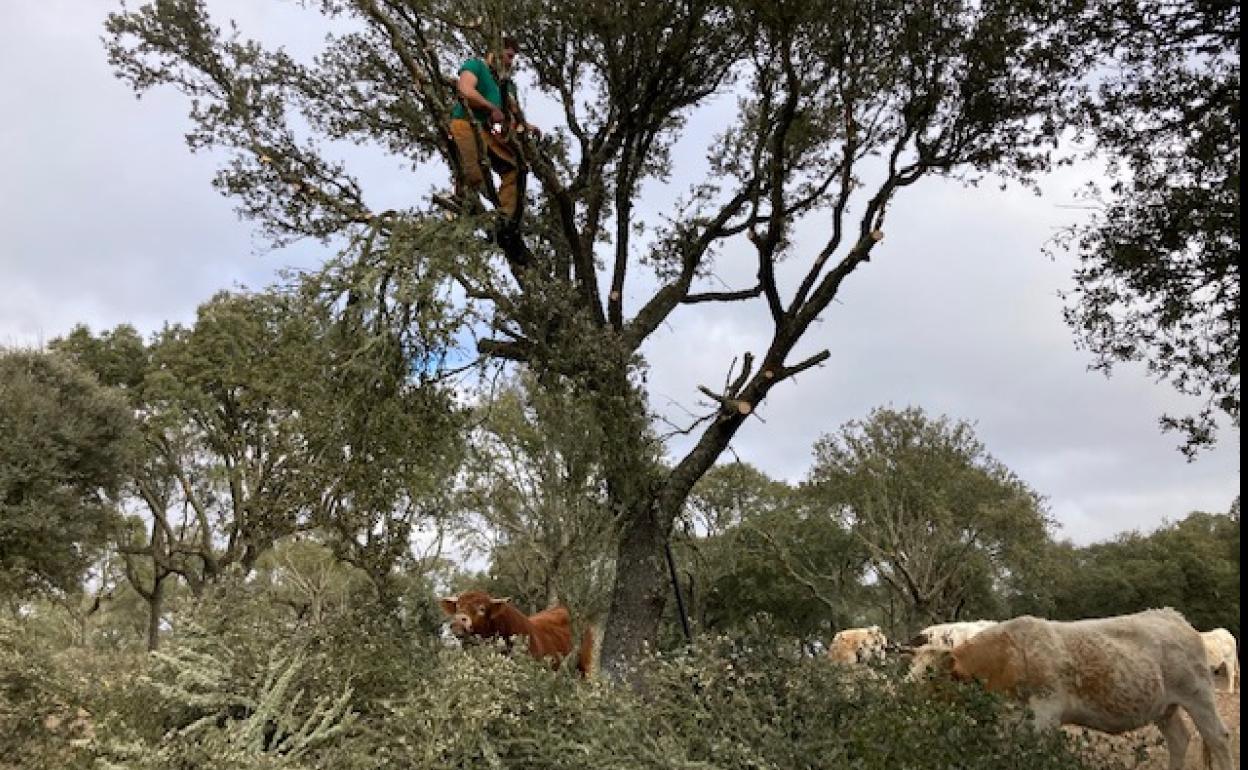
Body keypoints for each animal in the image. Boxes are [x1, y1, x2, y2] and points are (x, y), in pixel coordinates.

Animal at [938, 606, 1233, 768]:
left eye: (933, 677)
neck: (1006, 656)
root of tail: (1173, 616)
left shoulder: (1045, 714)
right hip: (1165, 707)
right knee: (1180, 740)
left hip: (1198, 695)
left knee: (1218, 738)